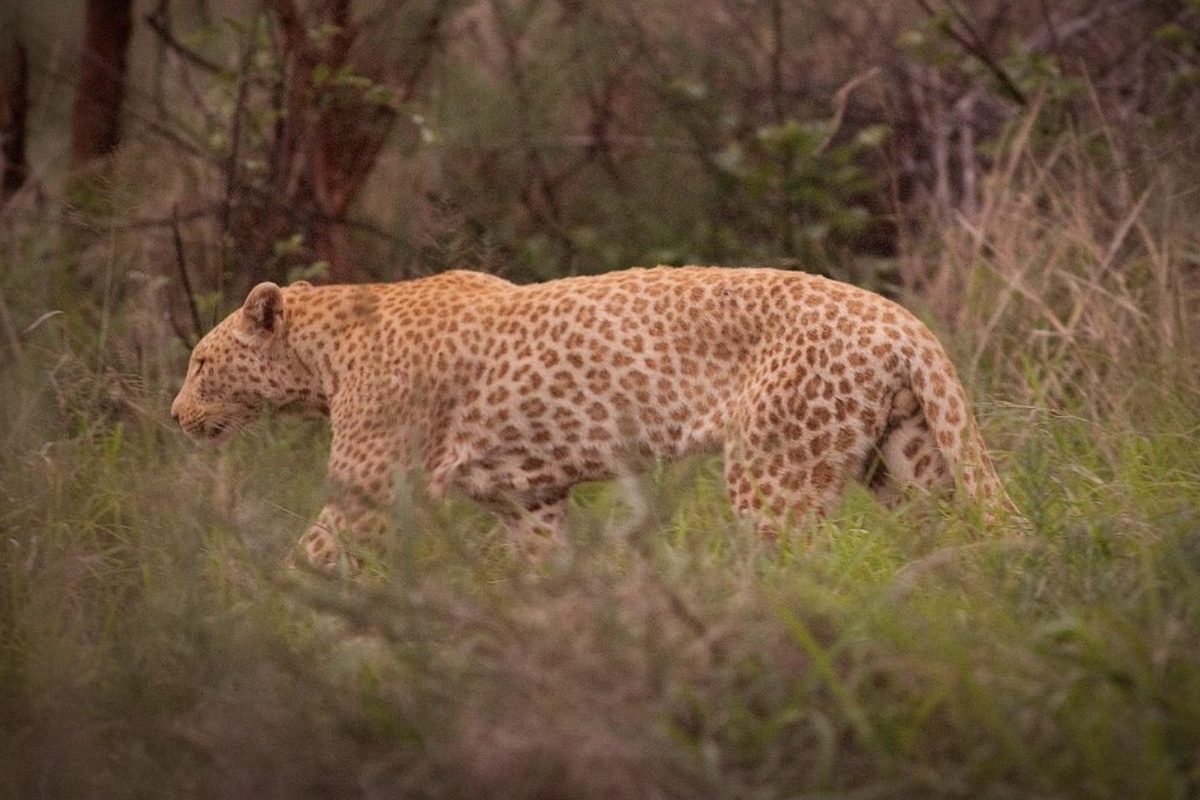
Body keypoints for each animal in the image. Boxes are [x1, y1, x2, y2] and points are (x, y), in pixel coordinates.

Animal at [171, 266, 1010, 569]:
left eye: (201, 364)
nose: (175, 416)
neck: (323, 352)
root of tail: (903, 320)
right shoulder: (529, 499)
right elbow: (542, 571)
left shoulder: (369, 490)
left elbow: (312, 555)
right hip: (908, 457)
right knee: (953, 531)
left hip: (777, 474)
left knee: (802, 564)